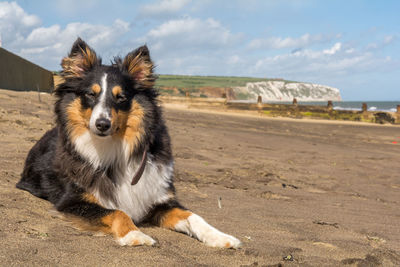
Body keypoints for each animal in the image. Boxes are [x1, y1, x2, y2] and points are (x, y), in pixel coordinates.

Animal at [16, 37, 241, 249]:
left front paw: (221, 237)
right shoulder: (72, 200)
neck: (113, 148)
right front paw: (135, 234)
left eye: (121, 97)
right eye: (90, 94)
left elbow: (194, 216)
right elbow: (118, 212)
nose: (102, 124)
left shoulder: (158, 198)